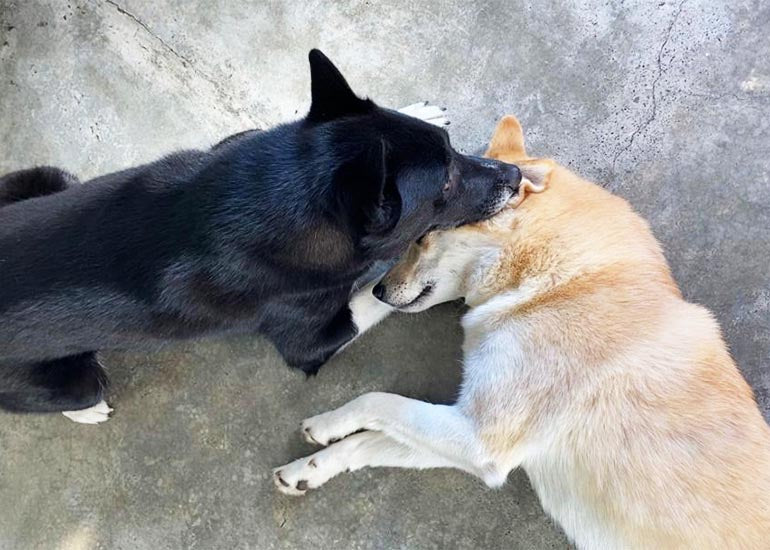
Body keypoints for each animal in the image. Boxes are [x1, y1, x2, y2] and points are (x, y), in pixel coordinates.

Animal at [0, 51, 520, 420]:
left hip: (50, 178)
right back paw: (87, 410)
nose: (515, 176)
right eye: (446, 184)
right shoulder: (310, 340)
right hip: (72, 379)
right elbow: (371, 296)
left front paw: (419, 113)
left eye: (452, 152)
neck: (290, 191)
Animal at [274, 115, 768, 548]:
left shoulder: (480, 437)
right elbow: (372, 440)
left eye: (423, 236)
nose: (376, 290)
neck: (562, 279)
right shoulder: (474, 435)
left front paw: (328, 423)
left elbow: (379, 401)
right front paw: (312, 464)